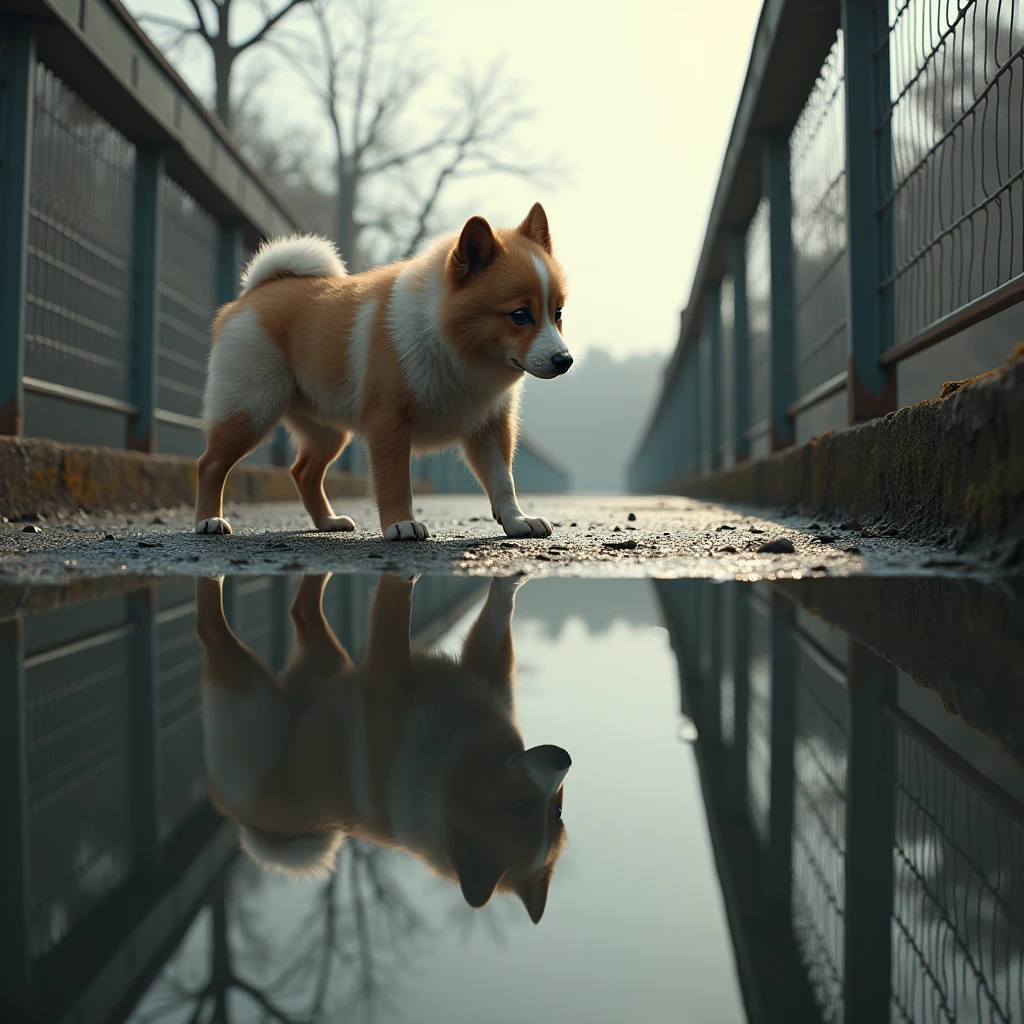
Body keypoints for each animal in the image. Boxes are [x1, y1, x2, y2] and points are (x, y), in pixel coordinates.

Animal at [195, 205, 573, 544]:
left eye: (557, 312)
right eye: (520, 315)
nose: (565, 360)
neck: (449, 345)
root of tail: (256, 293)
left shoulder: (491, 427)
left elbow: (502, 481)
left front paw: (516, 520)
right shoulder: (388, 422)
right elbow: (395, 481)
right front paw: (401, 524)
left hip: (326, 431)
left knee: (303, 472)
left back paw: (327, 522)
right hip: (250, 411)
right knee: (210, 463)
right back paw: (209, 521)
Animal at [195, 573, 573, 925]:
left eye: (548, 810)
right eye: (528, 807)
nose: (563, 758)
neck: (444, 772)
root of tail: (252, 827)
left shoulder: (387, 673)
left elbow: (396, 606)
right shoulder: (479, 675)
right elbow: (492, 609)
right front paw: (512, 574)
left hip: (252, 704)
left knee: (216, 631)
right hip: (318, 668)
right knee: (299, 610)